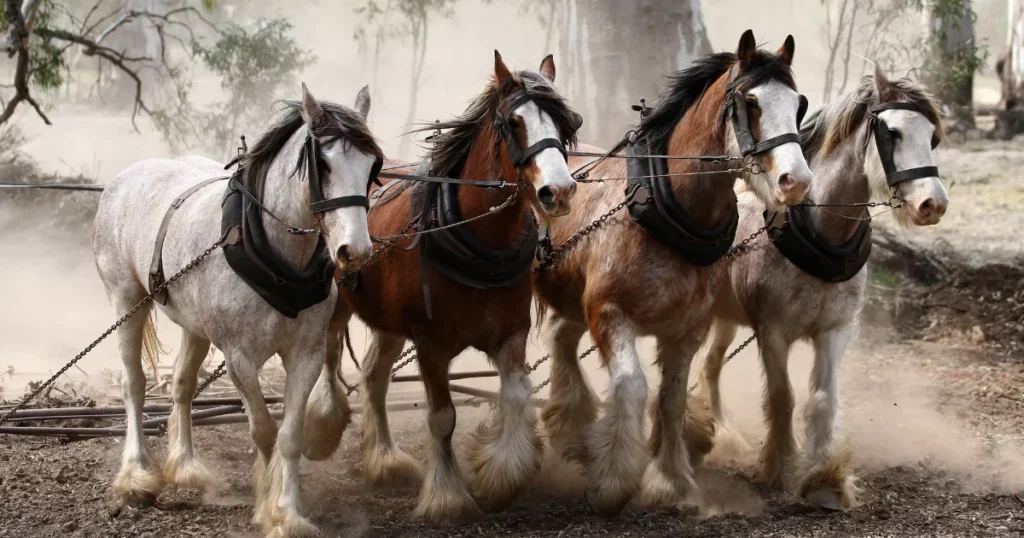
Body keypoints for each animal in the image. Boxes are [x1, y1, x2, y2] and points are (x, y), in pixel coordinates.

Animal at [311, 51, 581, 520]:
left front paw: (502, 474)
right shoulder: (430, 343)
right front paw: (447, 495)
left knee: (373, 376)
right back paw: (326, 422)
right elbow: (442, 418)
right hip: (338, 306)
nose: (559, 191)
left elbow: (516, 395)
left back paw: (385, 460)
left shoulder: (510, 333)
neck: (478, 238)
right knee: (330, 358)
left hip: (388, 321)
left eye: (565, 124)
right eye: (514, 122)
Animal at [532, 30, 811, 516]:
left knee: (561, 340)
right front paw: (614, 480)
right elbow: (632, 388)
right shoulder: (610, 314)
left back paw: (572, 426)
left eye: (799, 104)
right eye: (751, 102)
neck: (665, 210)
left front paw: (671, 482)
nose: (796, 181)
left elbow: (670, 399)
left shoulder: (688, 327)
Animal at [692, 67, 946, 508]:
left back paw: (725, 432)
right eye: (893, 132)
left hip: (727, 317)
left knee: (710, 366)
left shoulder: (835, 330)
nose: (934, 204)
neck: (821, 237)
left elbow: (823, 400)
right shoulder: (773, 332)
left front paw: (822, 476)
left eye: (932, 137)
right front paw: (779, 468)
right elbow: (783, 398)